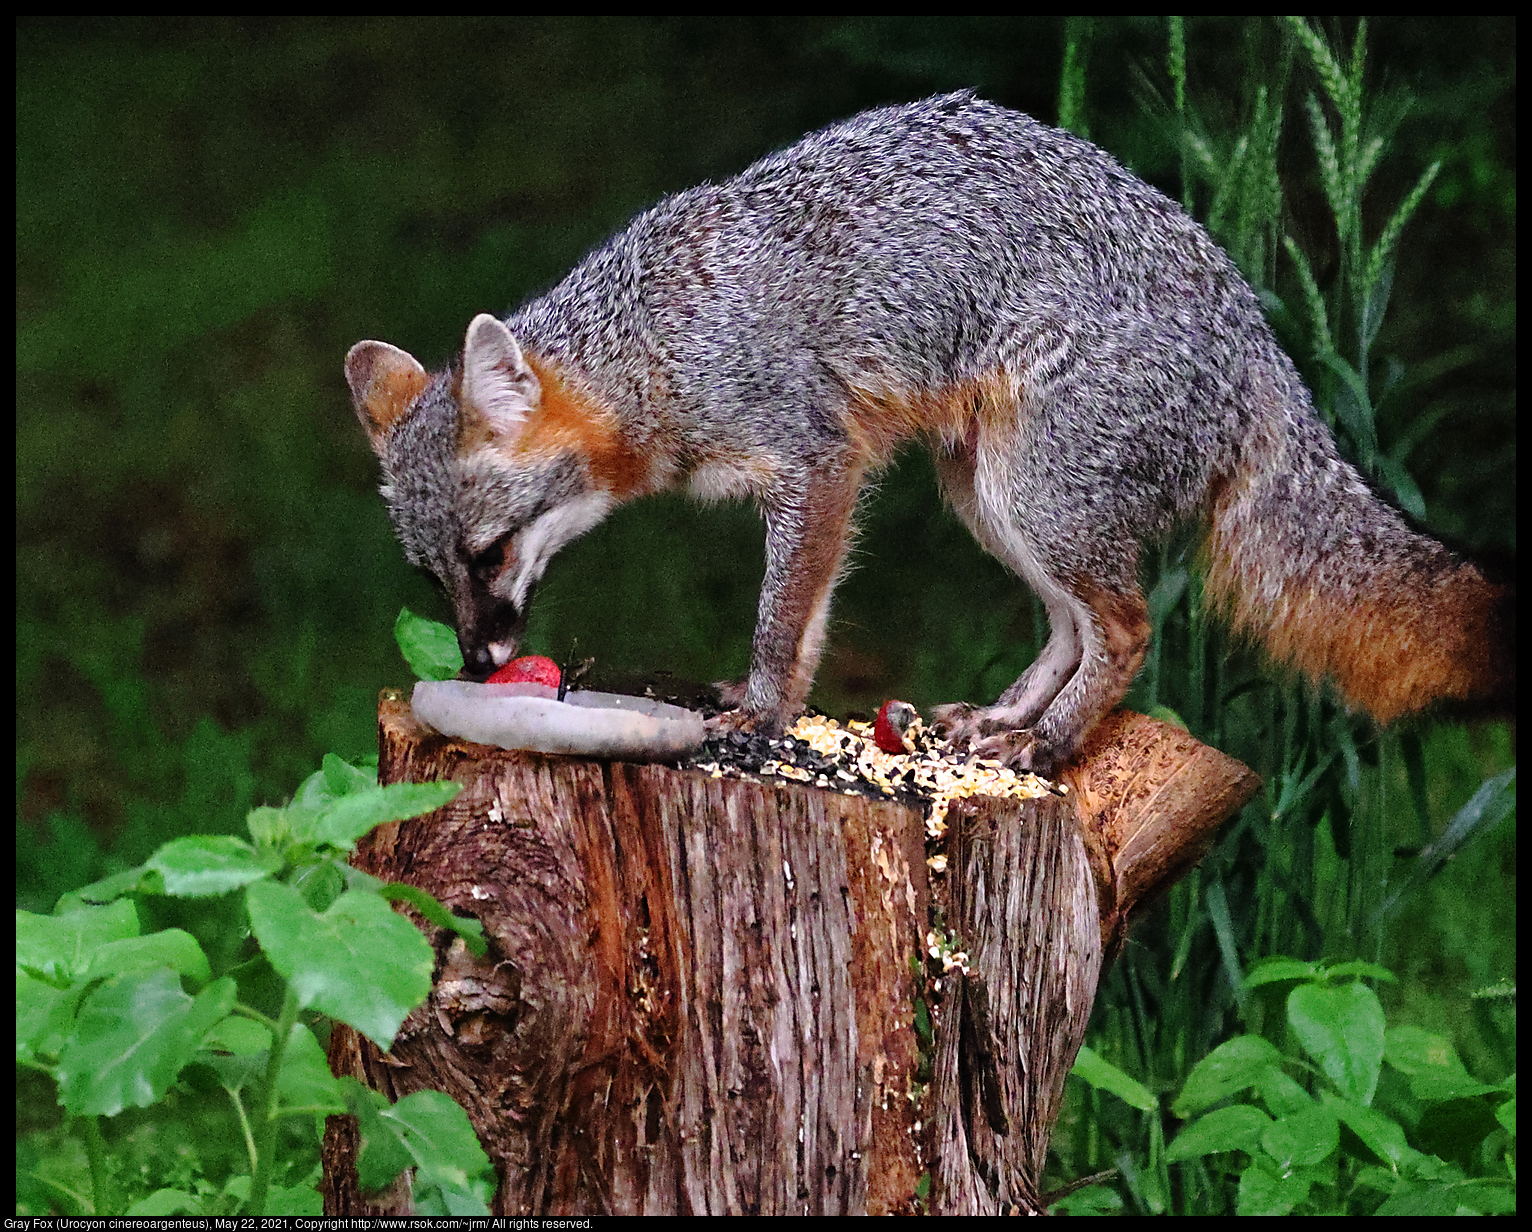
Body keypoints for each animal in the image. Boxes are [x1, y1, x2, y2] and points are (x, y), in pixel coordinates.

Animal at [347, 91, 1507, 775]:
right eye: (432, 575)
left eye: (489, 554)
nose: (479, 657)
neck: (660, 346)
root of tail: (1259, 338)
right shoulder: (830, 475)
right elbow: (810, 619)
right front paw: (769, 704)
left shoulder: (816, 462)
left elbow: (784, 616)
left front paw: (758, 712)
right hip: (989, 498)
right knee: (1071, 627)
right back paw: (1003, 723)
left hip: (1038, 498)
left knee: (1125, 627)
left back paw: (1052, 742)